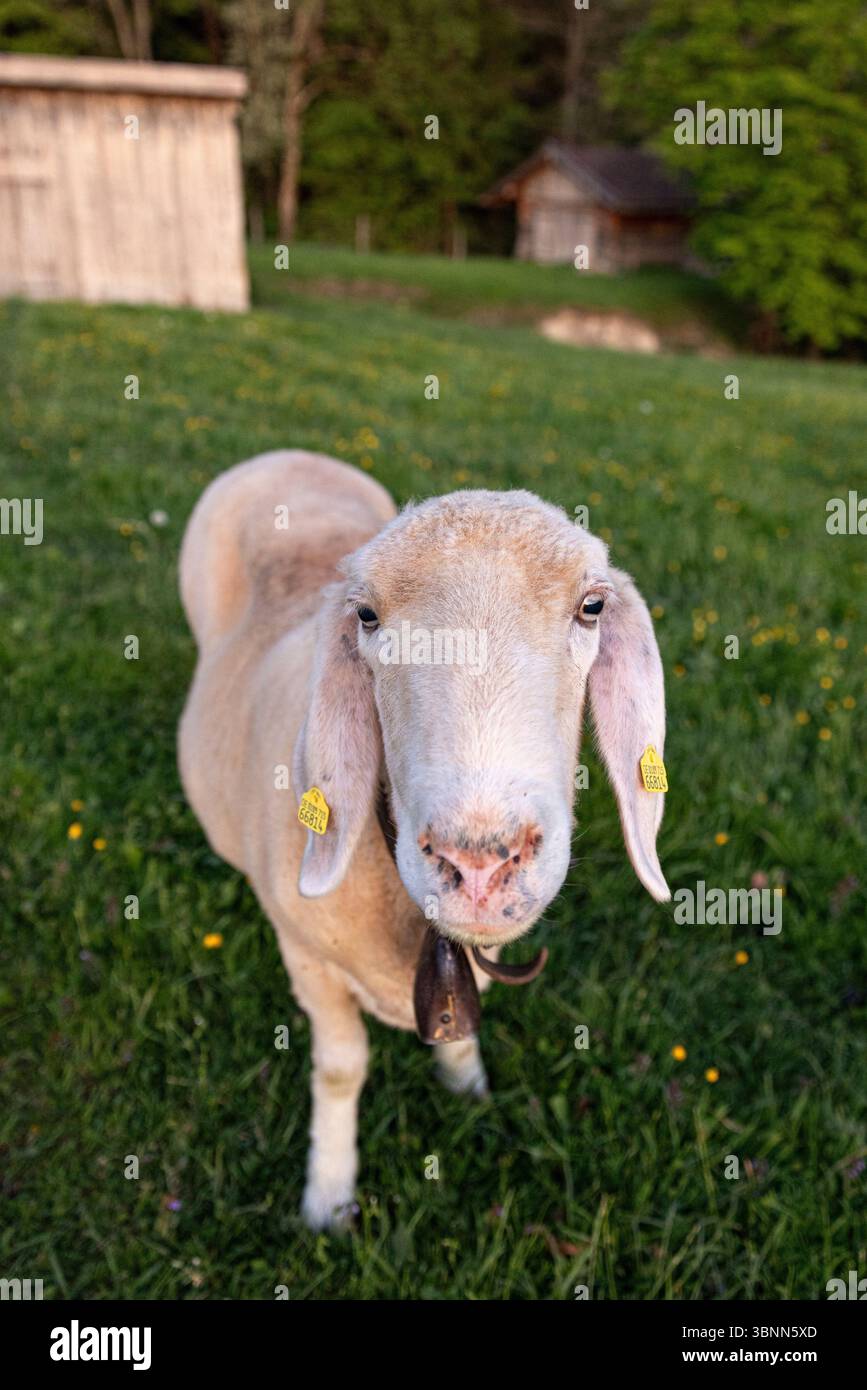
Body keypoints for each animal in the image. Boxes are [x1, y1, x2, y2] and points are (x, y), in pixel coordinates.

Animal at [178, 449, 669, 1230]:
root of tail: (288, 454)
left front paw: (467, 1086)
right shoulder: (306, 957)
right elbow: (340, 1068)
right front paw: (328, 1194)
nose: (479, 863)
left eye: (591, 607)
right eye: (366, 615)